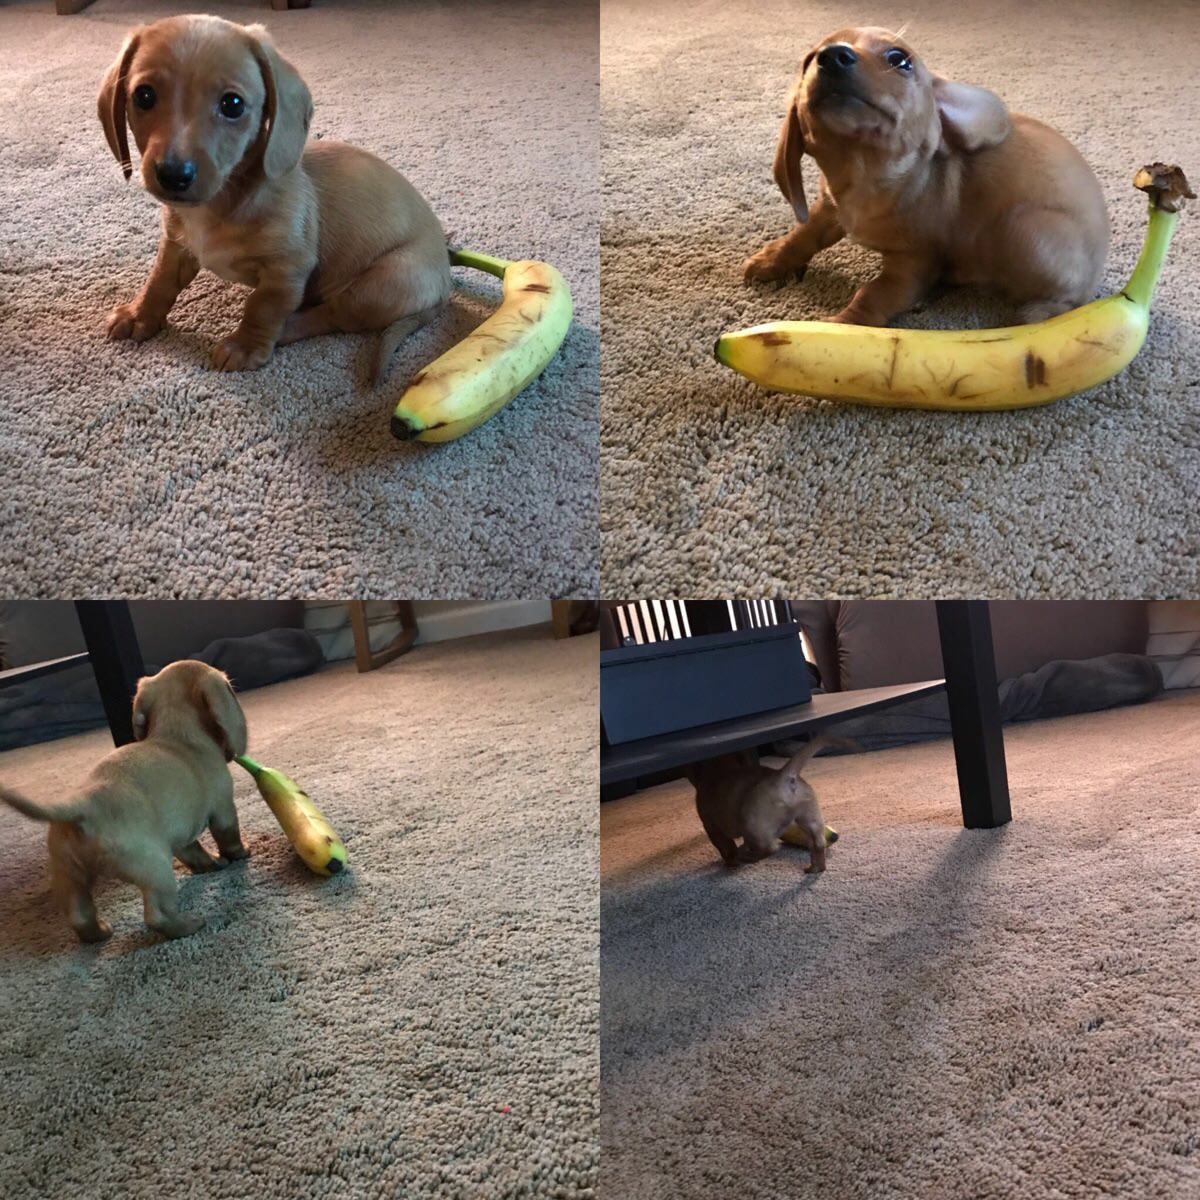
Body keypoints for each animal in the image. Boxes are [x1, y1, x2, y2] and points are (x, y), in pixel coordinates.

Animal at [0, 662, 248, 940]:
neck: (177, 735)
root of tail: (83, 804)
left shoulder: (179, 839)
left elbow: (194, 852)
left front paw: (210, 864)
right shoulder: (223, 808)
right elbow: (229, 838)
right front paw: (240, 854)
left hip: (69, 874)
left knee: (79, 916)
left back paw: (99, 933)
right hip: (156, 867)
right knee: (157, 915)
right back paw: (187, 925)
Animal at [98, 14, 451, 374]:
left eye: (233, 104)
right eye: (143, 96)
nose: (173, 175)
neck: (222, 200)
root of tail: (445, 283)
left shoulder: (286, 270)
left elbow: (261, 308)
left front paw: (245, 346)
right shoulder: (176, 248)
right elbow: (159, 282)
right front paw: (139, 315)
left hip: (379, 285)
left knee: (333, 315)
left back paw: (287, 329)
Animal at [744, 27, 1108, 326]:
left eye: (898, 59)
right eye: (809, 59)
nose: (833, 56)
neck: (864, 174)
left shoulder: (912, 265)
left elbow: (872, 295)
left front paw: (840, 328)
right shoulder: (827, 210)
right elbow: (803, 236)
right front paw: (773, 259)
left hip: (1019, 227)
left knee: (1061, 303)